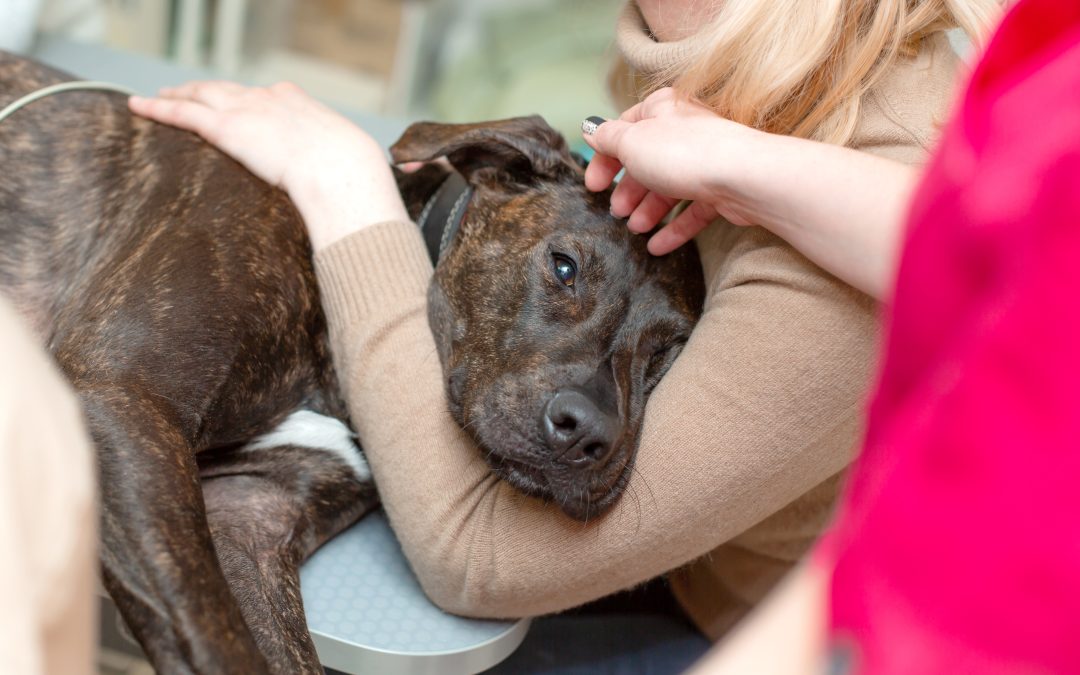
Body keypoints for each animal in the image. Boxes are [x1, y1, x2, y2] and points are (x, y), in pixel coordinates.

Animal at [0, 52, 704, 673]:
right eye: (563, 267)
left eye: (668, 352)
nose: (589, 434)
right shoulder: (119, 398)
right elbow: (216, 640)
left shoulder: (247, 521)